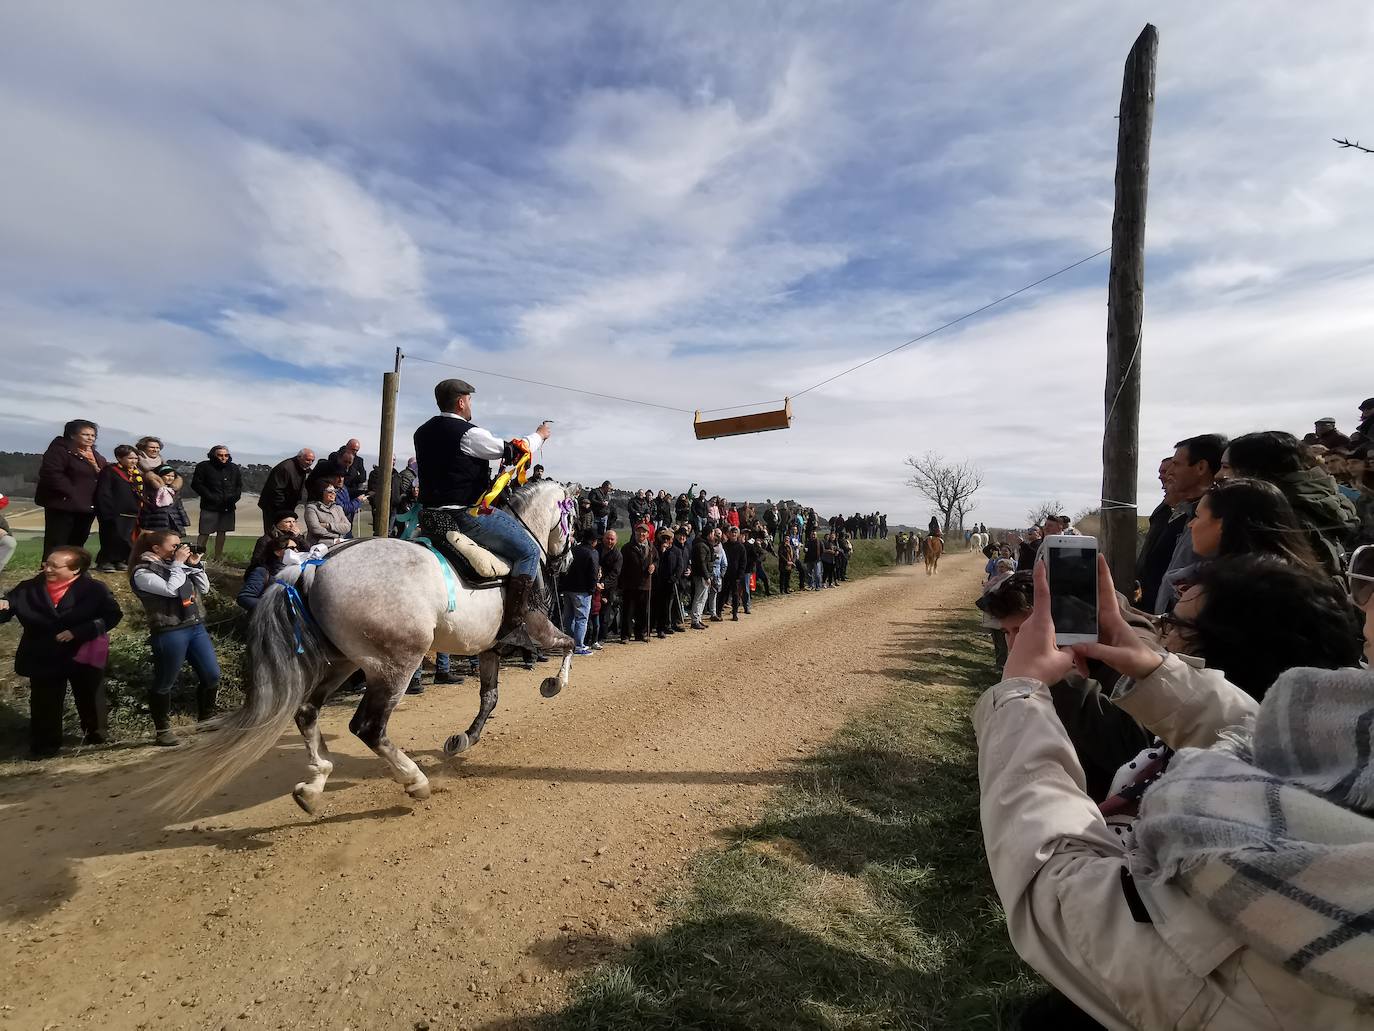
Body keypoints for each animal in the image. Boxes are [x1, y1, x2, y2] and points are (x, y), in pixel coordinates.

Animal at [159, 483, 574, 813]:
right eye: (575, 518)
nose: (566, 560)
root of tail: (313, 565)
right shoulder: (538, 630)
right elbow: (569, 643)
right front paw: (554, 684)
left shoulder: (489, 647)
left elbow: (490, 697)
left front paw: (463, 739)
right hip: (394, 665)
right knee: (369, 727)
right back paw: (414, 780)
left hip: (342, 661)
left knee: (307, 712)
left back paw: (314, 786)